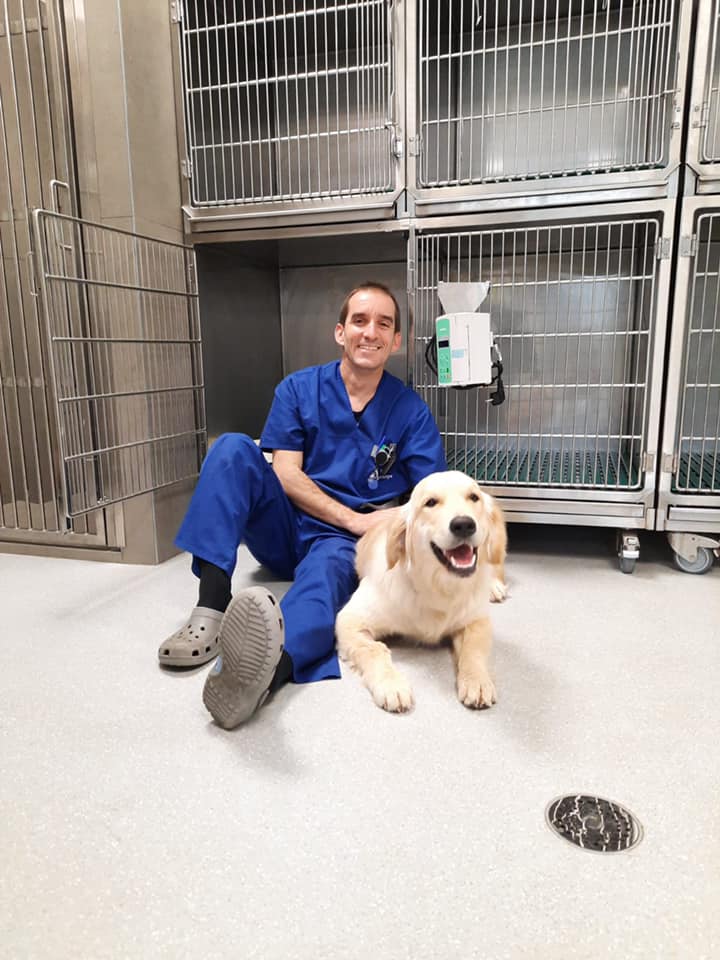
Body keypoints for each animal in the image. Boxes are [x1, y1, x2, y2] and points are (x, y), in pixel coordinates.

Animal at [336, 472, 506, 712]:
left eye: (474, 497)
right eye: (430, 502)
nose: (464, 524)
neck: (438, 586)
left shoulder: (476, 619)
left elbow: (473, 650)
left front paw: (477, 681)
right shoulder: (349, 619)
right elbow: (374, 650)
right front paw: (391, 685)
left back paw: (494, 585)